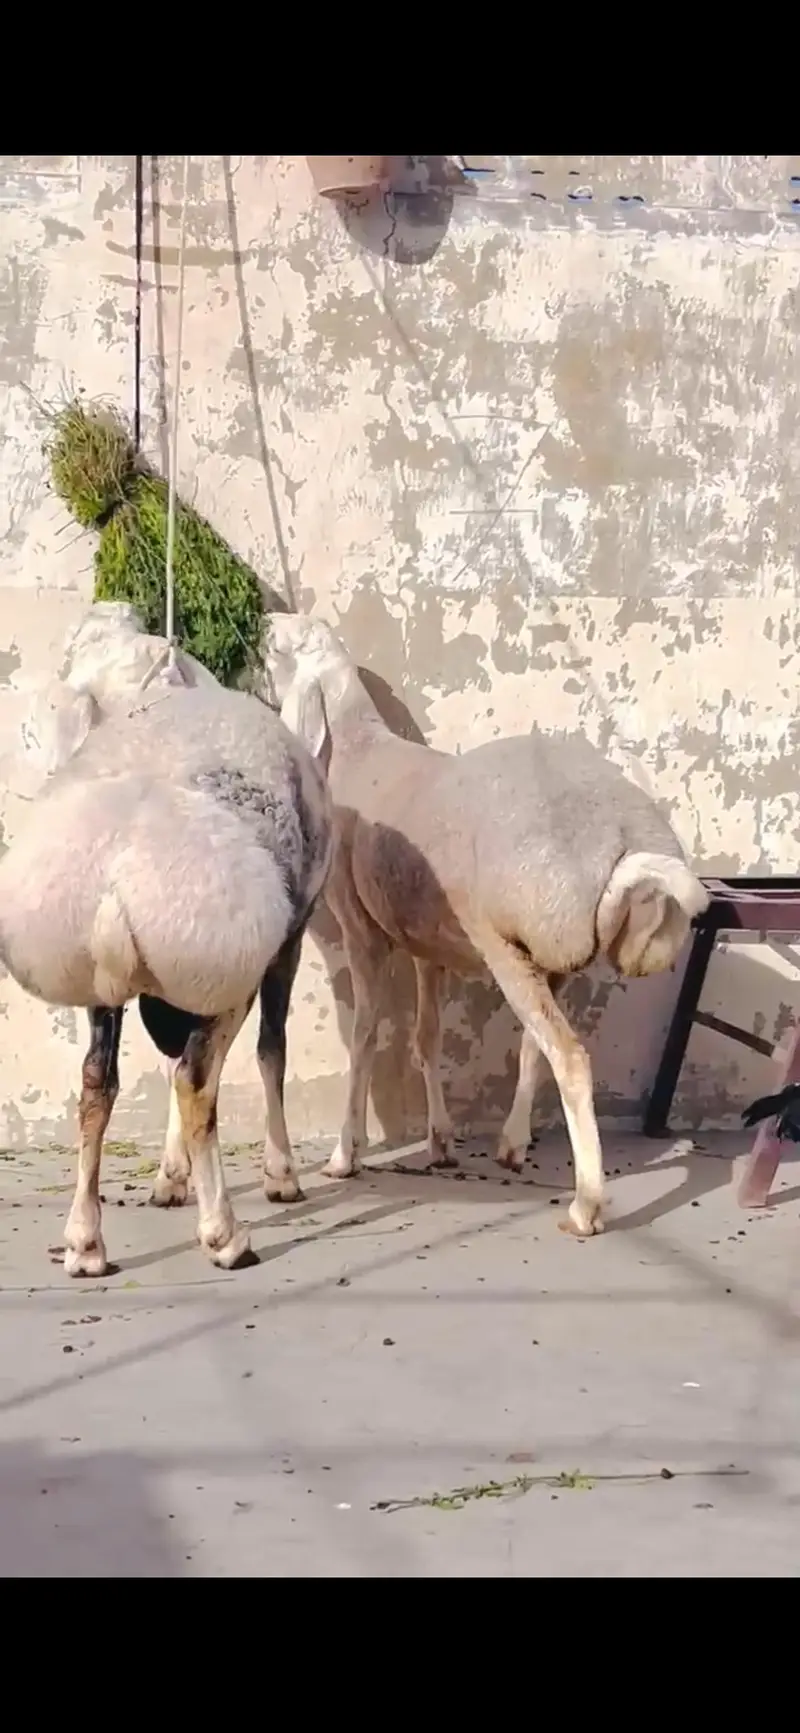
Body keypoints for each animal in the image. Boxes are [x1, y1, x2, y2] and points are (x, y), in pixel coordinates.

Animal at [2, 602, 332, 1277]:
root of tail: (117, 876)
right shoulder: (287, 941)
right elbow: (272, 1051)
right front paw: (279, 1176)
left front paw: (170, 1178)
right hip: (230, 963)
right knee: (196, 1079)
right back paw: (226, 1236)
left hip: (110, 982)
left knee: (97, 1085)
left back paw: (85, 1241)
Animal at [261, 613, 710, 1238]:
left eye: (276, 648)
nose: (263, 624)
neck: (353, 744)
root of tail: (626, 840)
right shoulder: (425, 940)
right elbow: (426, 1037)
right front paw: (440, 1142)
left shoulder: (363, 929)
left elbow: (366, 1037)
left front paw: (344, 1155)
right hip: (545, 951)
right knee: (534, 1047)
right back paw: (512, 1146)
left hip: (505, 943)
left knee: (569, 1059)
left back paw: (585, 1205)